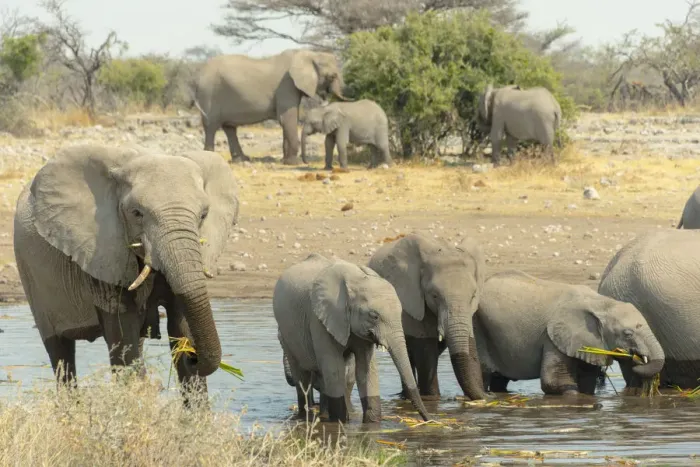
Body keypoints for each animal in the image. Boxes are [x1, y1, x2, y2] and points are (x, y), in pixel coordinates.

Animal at [13, 144, 239, 398]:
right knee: (61, 353)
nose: (195, 357)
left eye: (203, 215)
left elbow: (181, 326)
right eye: (136, 213)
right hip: (29, 274)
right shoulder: (103, 250)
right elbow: (124, 342)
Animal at [191, 48, 348, 165]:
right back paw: (210, 156)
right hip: (209, 94)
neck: (309, 54)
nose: (307, 163)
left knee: (229, 128)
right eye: (332, 77)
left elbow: (287, 120)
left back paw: (242, 160)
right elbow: (287, 118)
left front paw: (286, 161)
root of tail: (198, 75)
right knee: (211, 126)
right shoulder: (286, 85)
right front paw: (293, 163)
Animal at [273, 253, 430, 423]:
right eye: (374, 316)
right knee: (303, 378)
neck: (356, 279)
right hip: (288, 335)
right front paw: (339, 423)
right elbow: (334, 369)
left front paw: (372, 424)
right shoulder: (319, 320)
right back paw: (305, 416)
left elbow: (365, 369)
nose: (429, 419)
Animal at [368, 232, 487, 401]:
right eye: (434, 295)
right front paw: (432, 398)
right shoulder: (412, 299)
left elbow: (470, 345)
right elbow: (425, 350)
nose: (487, 395)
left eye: (473, 296)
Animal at [474, 270, 665, 395]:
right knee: (484, 373)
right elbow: (555, 382)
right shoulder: (553, 336)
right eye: (627, 334)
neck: (601, 303)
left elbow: (587, 381)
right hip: (478, 328)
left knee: (499, 381)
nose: (637, 359)